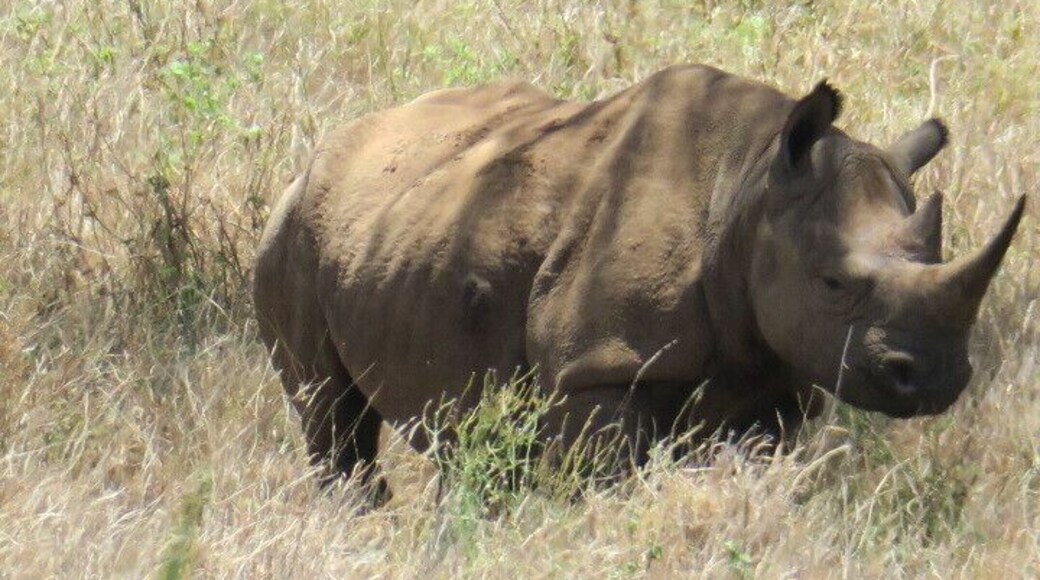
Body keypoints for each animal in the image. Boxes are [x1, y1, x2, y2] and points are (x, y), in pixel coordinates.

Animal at [253, 64, 1025, 488]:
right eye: (833, 285)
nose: (938, 379)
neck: (747, 191)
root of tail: (323, 150)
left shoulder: (774, 378)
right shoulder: (598, 365)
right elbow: (606, 480)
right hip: (295, 227)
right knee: (328, 413)